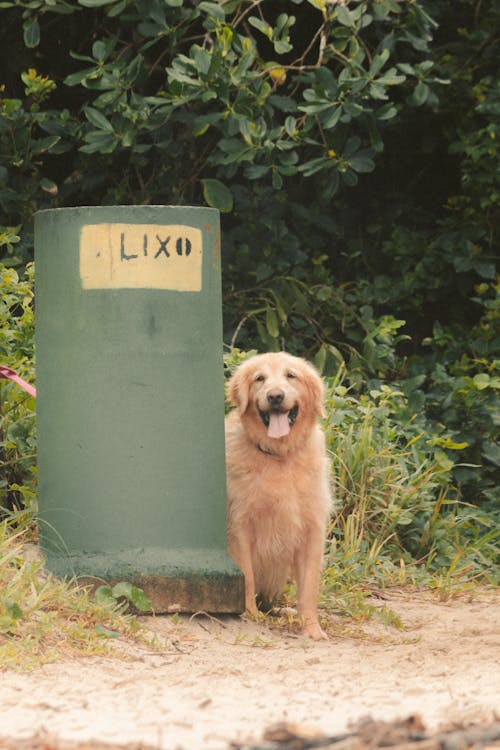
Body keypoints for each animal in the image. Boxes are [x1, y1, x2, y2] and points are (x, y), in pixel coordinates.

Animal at [226, 352, 332, 640]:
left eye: (291, 375)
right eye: (259, 378)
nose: (275, 396)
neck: (279, 457)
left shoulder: (311, 529)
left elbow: (309, 587)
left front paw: (311, 627)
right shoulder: (240, 525)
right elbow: (246, 576)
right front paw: (249, 615)